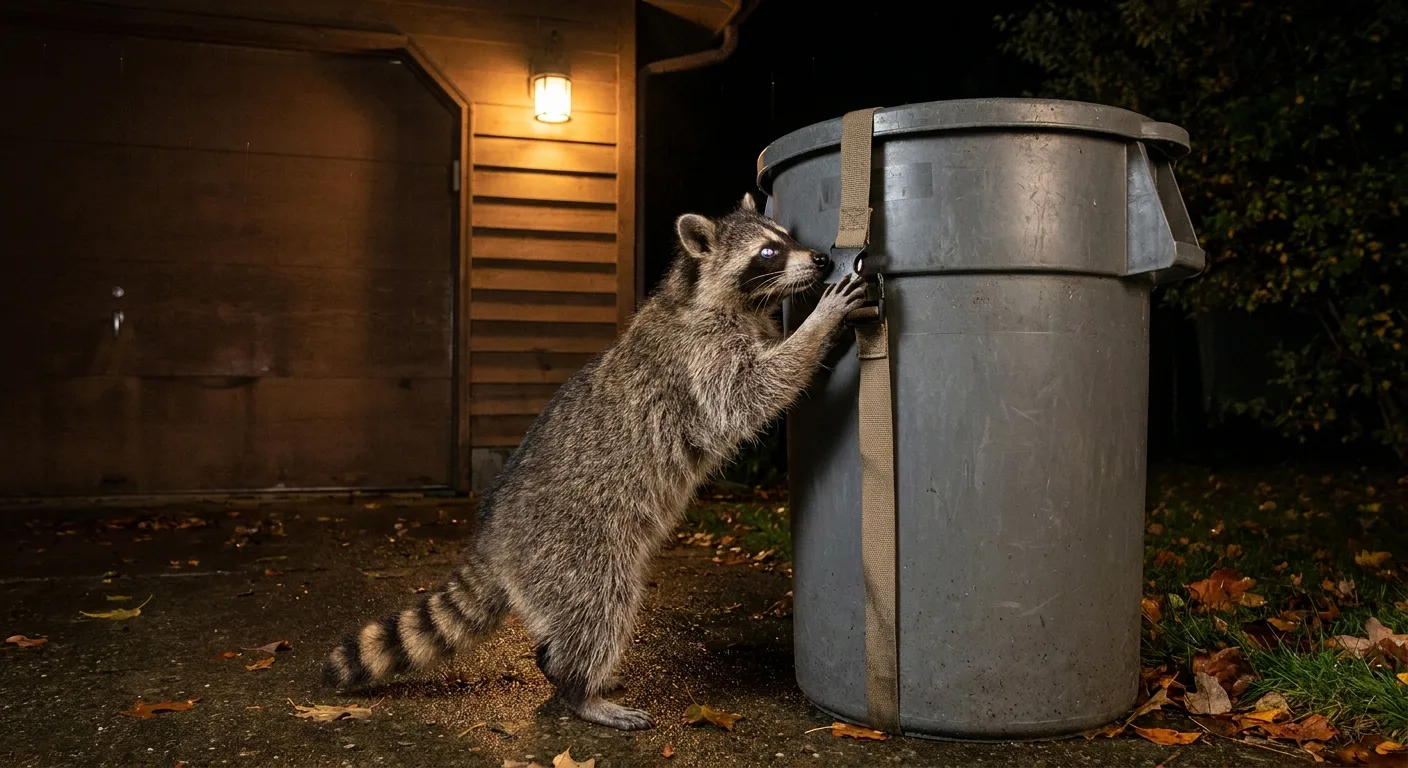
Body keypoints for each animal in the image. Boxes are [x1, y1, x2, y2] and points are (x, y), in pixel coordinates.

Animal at [322, 192, 867, 730]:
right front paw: (816, 326)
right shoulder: (699, 354)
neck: (703, 292)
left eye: (788, 237)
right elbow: (746, 394)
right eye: (768, 253)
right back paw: (578, 687)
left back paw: (561, 668)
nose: (821, 259)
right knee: (600, 602)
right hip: (573, 548)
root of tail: (493, 537)